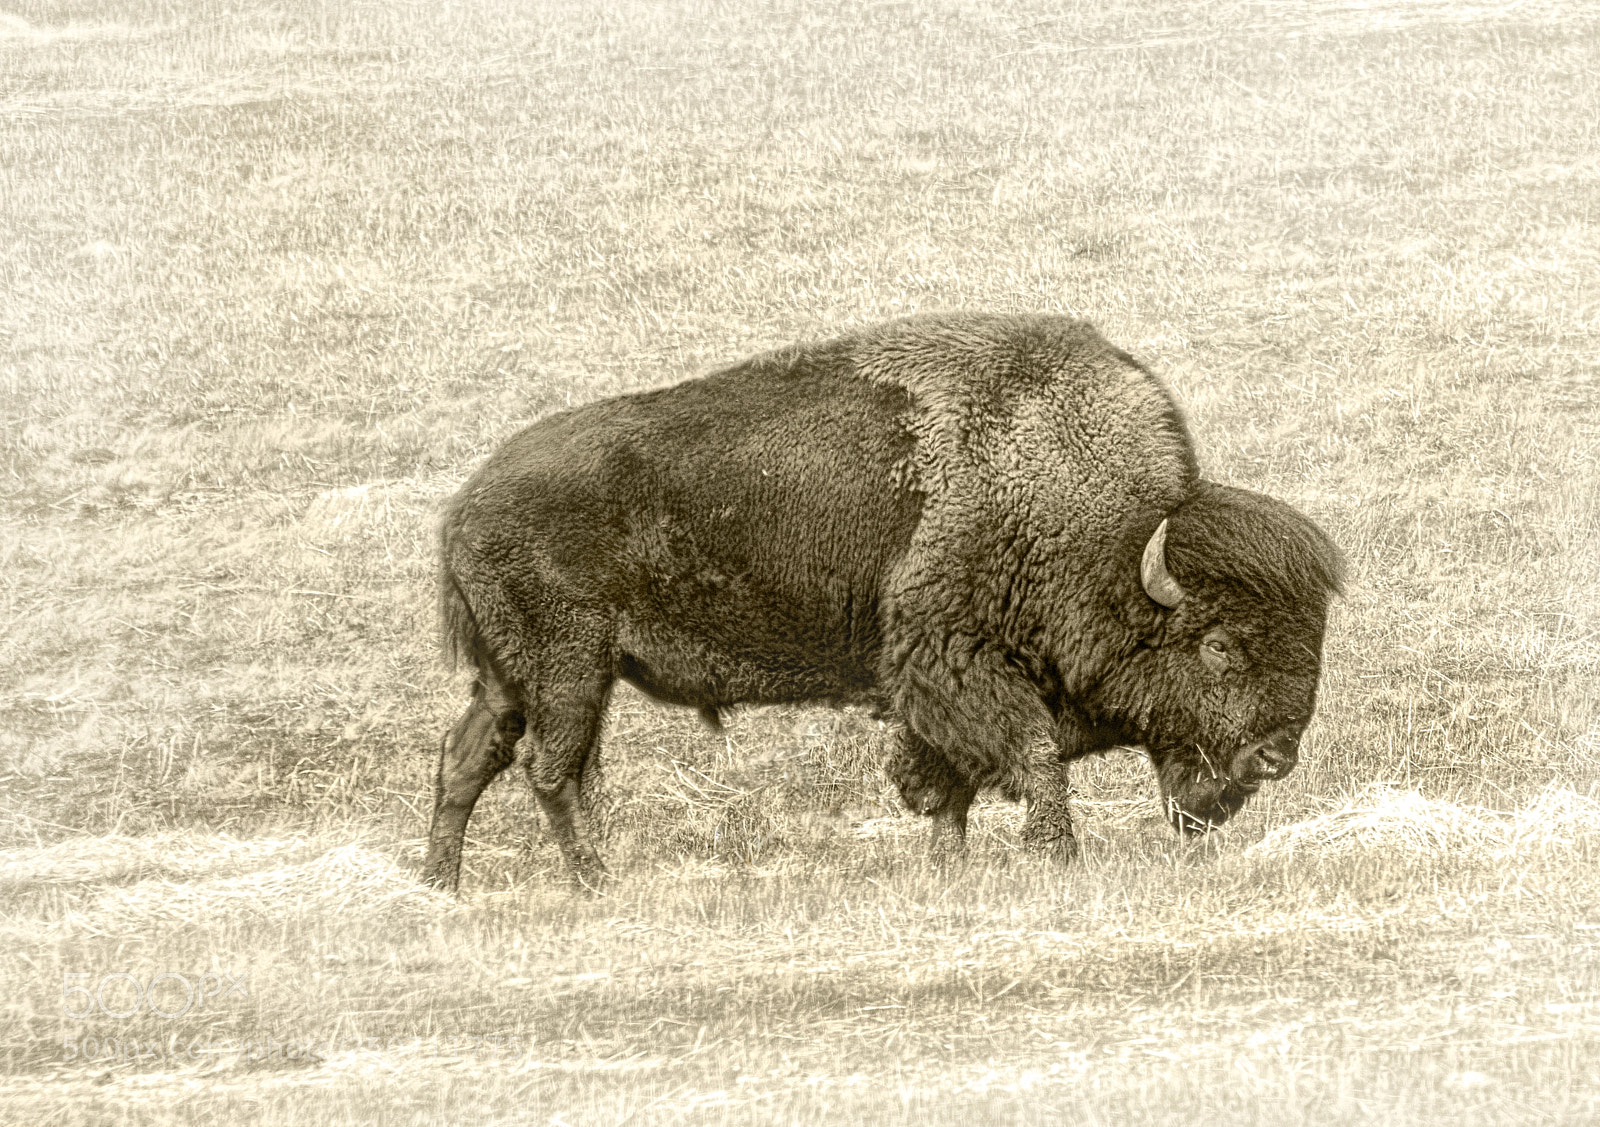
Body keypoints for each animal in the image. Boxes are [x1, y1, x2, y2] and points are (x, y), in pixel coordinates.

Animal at [421, 312, 1345, 890]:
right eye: (1219, 643)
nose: (1275, 755)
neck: (1098, 525)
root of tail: (466, 504)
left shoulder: (939, 692)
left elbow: (953, 783)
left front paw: (948, 867)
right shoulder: (953, 664)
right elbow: (1031, 756)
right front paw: (1057, 857)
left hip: (513, 674)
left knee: (469, 755)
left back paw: (442, 885)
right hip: (570, 667)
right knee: (550, 767)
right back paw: (595, 881)